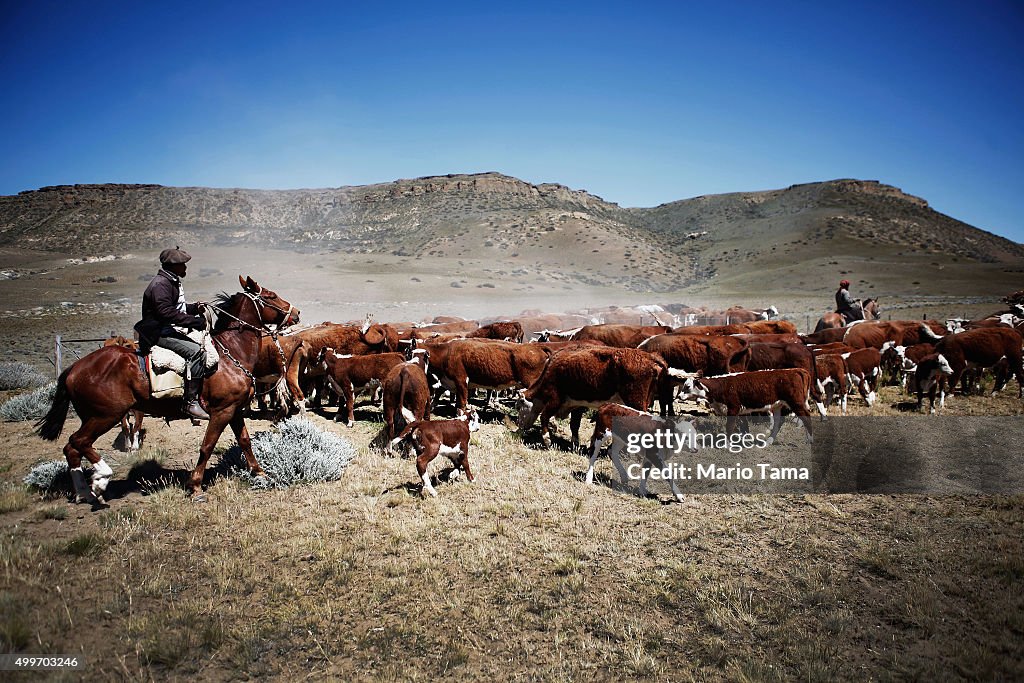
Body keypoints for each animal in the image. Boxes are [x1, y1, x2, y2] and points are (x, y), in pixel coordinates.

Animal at [37, 274, 299, 505]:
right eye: (271, 296)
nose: (296, 313)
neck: (230, 353)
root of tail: (74, 368)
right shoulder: (221, 411)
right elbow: (207, 446)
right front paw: (195, 486)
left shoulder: (233, 410)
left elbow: (245, 441)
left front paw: (260, 473)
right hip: (105, 415)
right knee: (79, 441)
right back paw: (101, 480)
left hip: (91, 416)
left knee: (72, 448)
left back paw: (84, 492)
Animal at [679, 370, 815, 446]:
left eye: (687, 386)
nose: (679, 396)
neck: (722, 386)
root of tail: (797, 370)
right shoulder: (740, 410)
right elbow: (743, 426)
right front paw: (745, 441)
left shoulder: (733, 407)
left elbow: (729, 426)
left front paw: (727, 445)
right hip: (778, 405)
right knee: (778, 421)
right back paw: (769, 441)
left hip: (796, 402)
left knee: (807, 418)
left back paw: (810, 440)